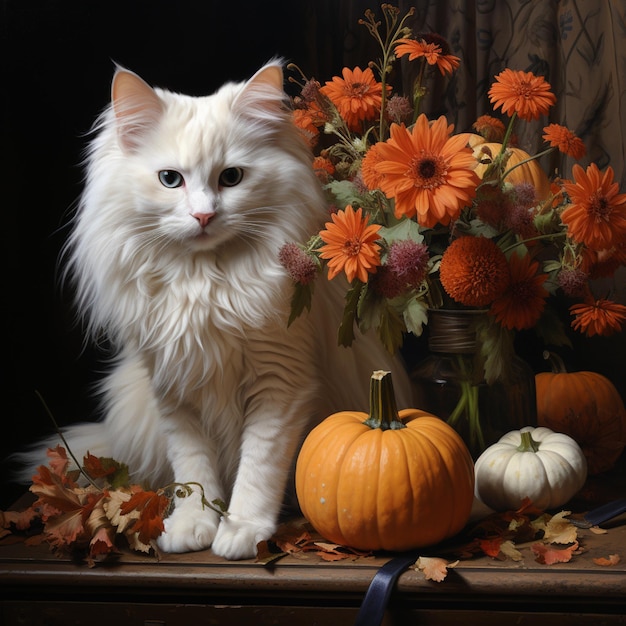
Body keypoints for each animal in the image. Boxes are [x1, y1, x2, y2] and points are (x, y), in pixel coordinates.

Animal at [17, 62, 412, 560]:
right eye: (170, 180)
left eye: (232, 178)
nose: (203, 216)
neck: (203, 284)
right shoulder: (173, 388)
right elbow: (193, 472)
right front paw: (192, 526)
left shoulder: (279, 383)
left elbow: (258, 469)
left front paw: (242, 531)